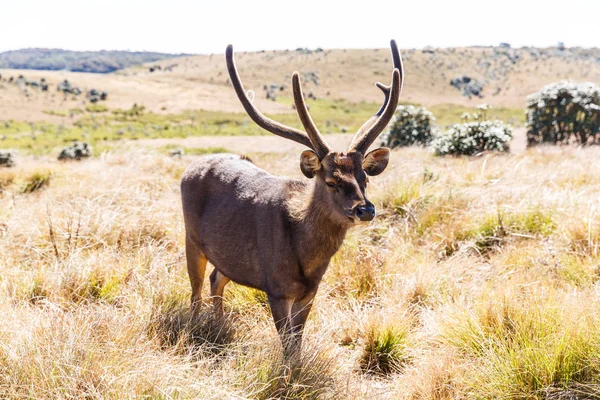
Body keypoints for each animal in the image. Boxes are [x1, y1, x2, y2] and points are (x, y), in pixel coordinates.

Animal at [179, 39, 404, 354]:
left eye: (365, 179)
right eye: (331, 181)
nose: (365, 210)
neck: (306, 261)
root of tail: (190, 167)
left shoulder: (310, 292)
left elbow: (297, 343)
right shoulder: (276, 288)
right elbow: (287, 345)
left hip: (228, 257)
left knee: (216, 279)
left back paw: (220, 326)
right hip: (191, 238)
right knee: (195, 290)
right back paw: (194, 328)